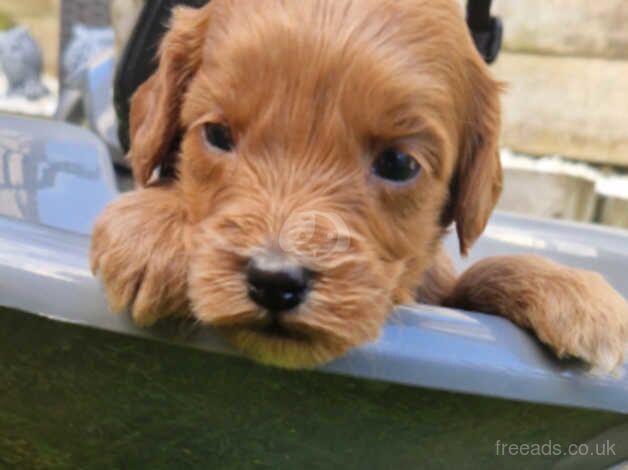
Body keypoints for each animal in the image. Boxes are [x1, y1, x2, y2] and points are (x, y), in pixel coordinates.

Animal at [89, 0, 628, 370]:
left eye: (398, 163)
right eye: (218, 135)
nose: (275, 281)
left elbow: (473, 276)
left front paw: (570, 290)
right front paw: (154, 230)